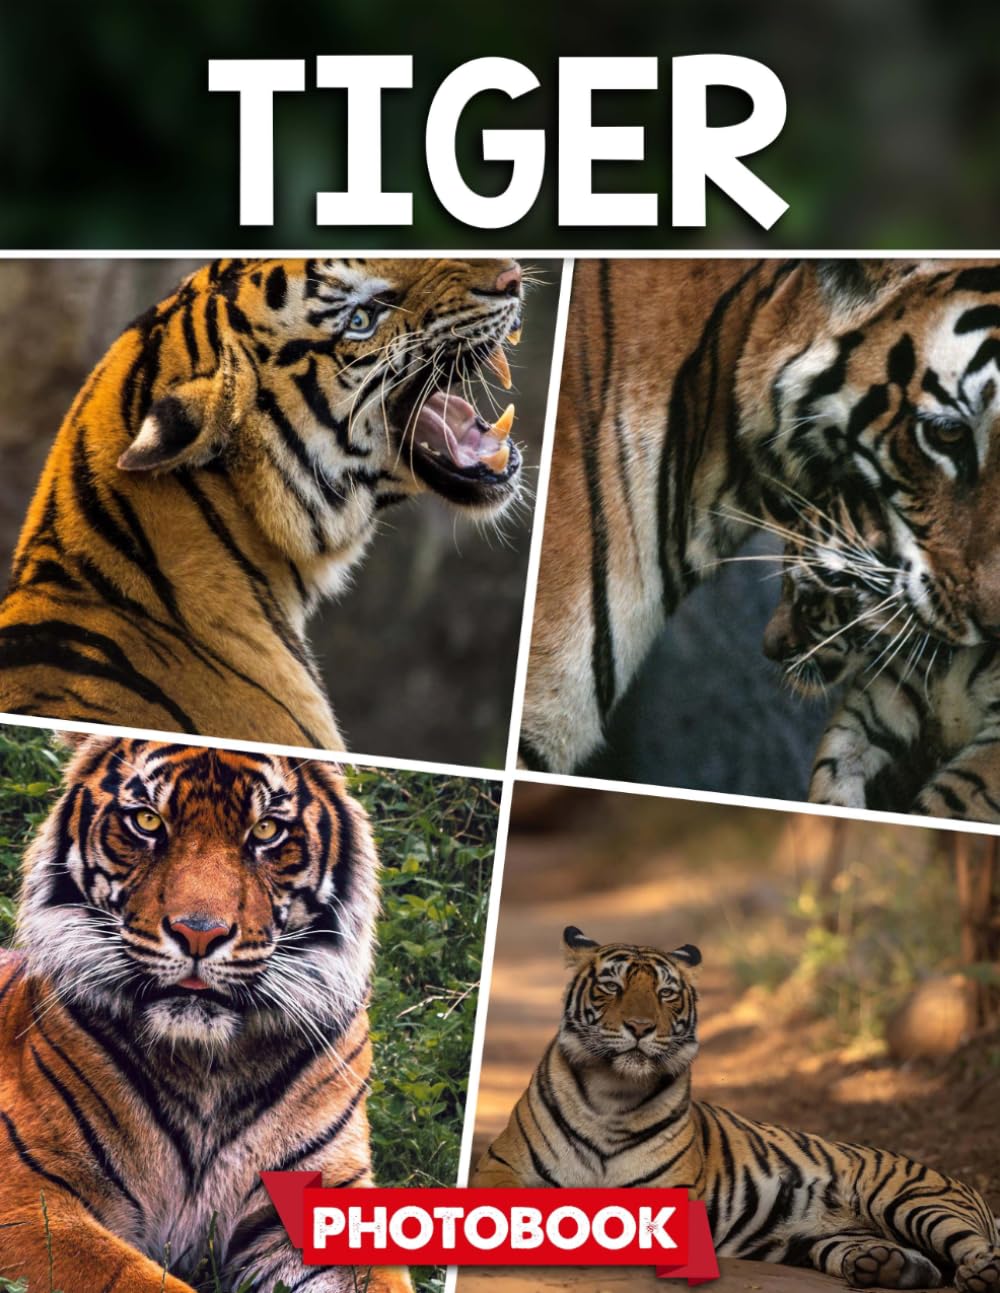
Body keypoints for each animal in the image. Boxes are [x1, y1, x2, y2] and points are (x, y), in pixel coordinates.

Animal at [472, 928, 1000, 1292]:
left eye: (665, 993)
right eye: (611, 988)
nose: (640, 1027)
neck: (612, 1094)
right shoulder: (499, 1168)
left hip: (912, 1198)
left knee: (975, 1248)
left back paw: (979, 1273)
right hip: (819, 1239)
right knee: (918, 1264)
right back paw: (886, 1266)